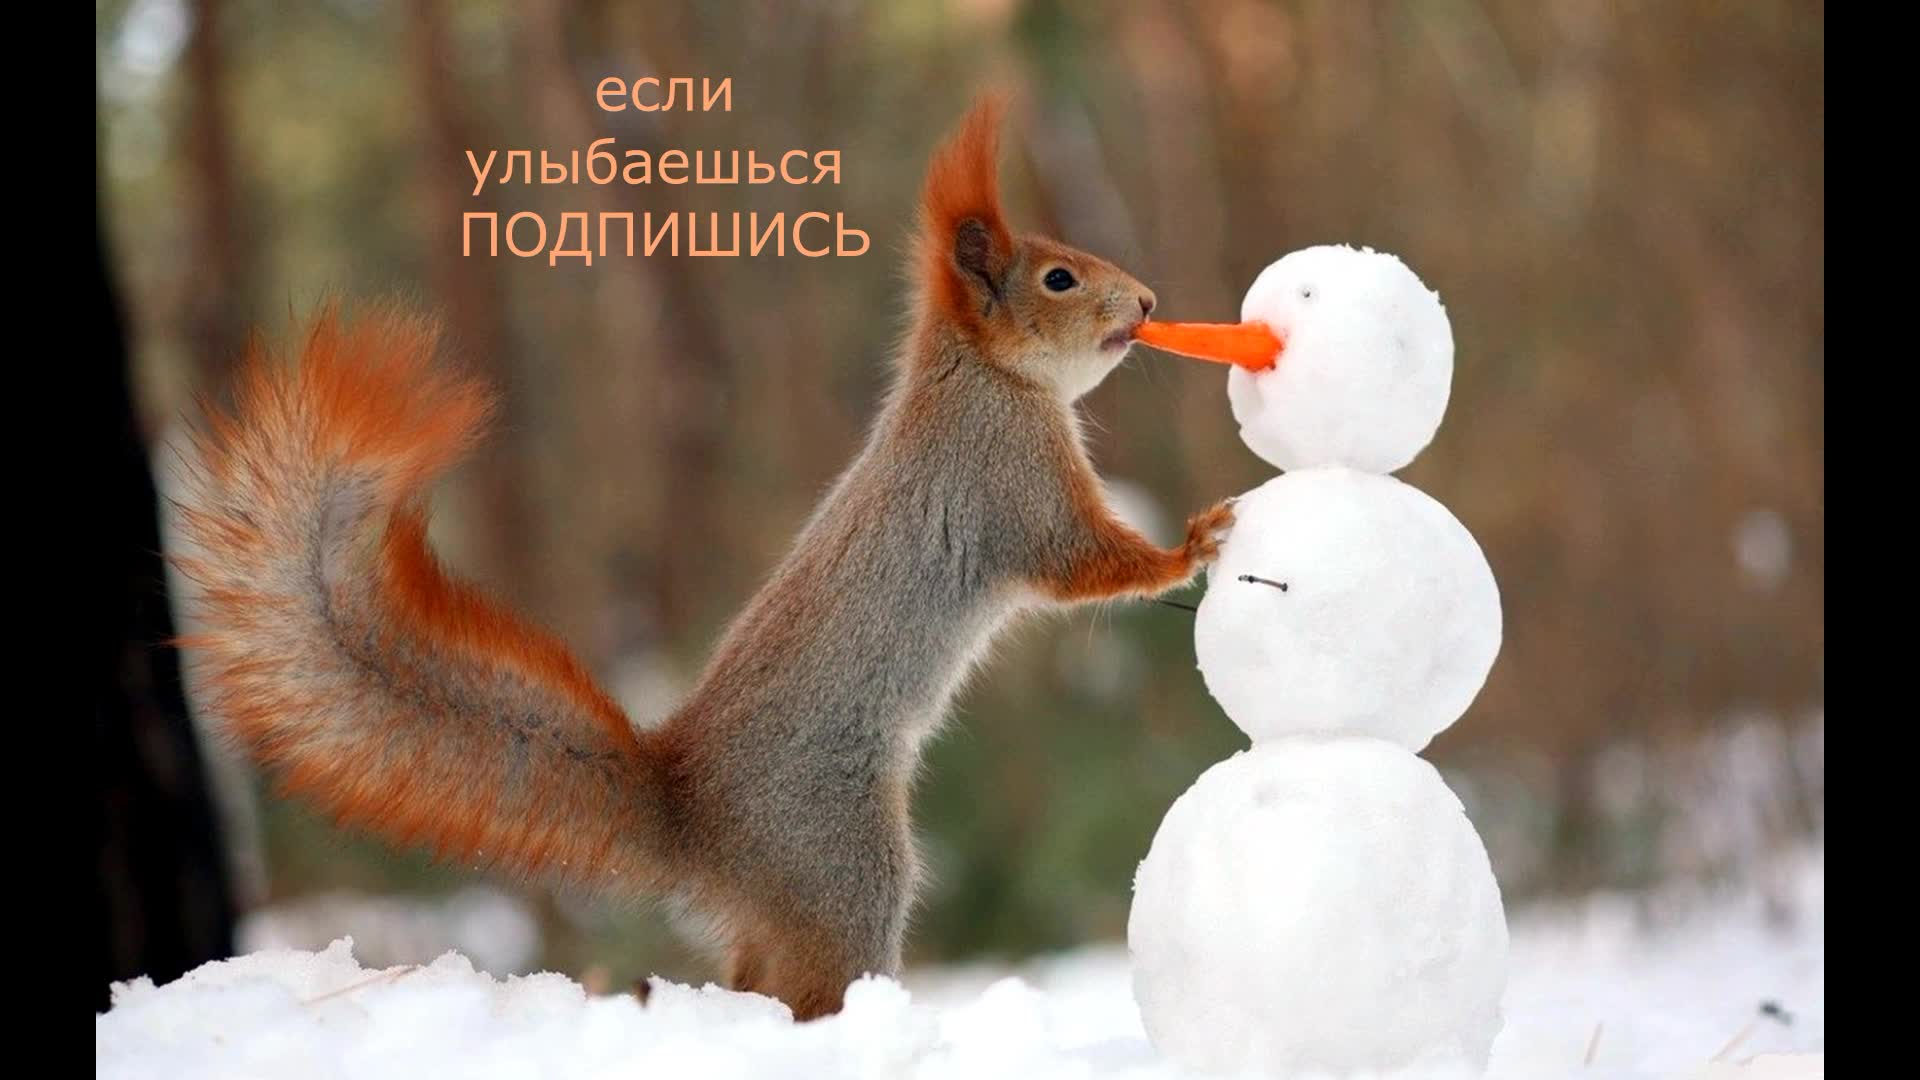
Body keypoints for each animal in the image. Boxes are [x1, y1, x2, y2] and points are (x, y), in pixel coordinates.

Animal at [173, 95, 1235, 1021]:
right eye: (1058, 279)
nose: (1147, 302)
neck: (981, 374)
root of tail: (692, 816)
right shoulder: (1007, 480)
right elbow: (1079, 565)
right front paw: (1193, 543)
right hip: (838, 864)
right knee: (804, 984)